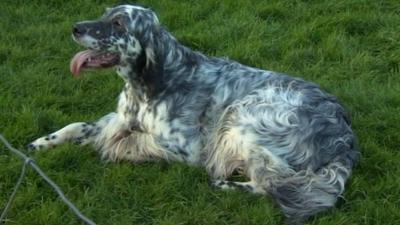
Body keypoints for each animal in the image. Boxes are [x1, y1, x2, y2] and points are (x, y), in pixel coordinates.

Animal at [28, 3, 360, 223]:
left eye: (120, 24)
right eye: (104, 14)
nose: (76, 28)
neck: (150, 84)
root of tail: (345, 136)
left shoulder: (187, 149)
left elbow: (127, 141)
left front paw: (111, 146)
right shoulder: (120, 117)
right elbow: (77, 125)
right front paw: (43, 142)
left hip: (245, 115)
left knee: (272, 182)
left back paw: (227, 184)